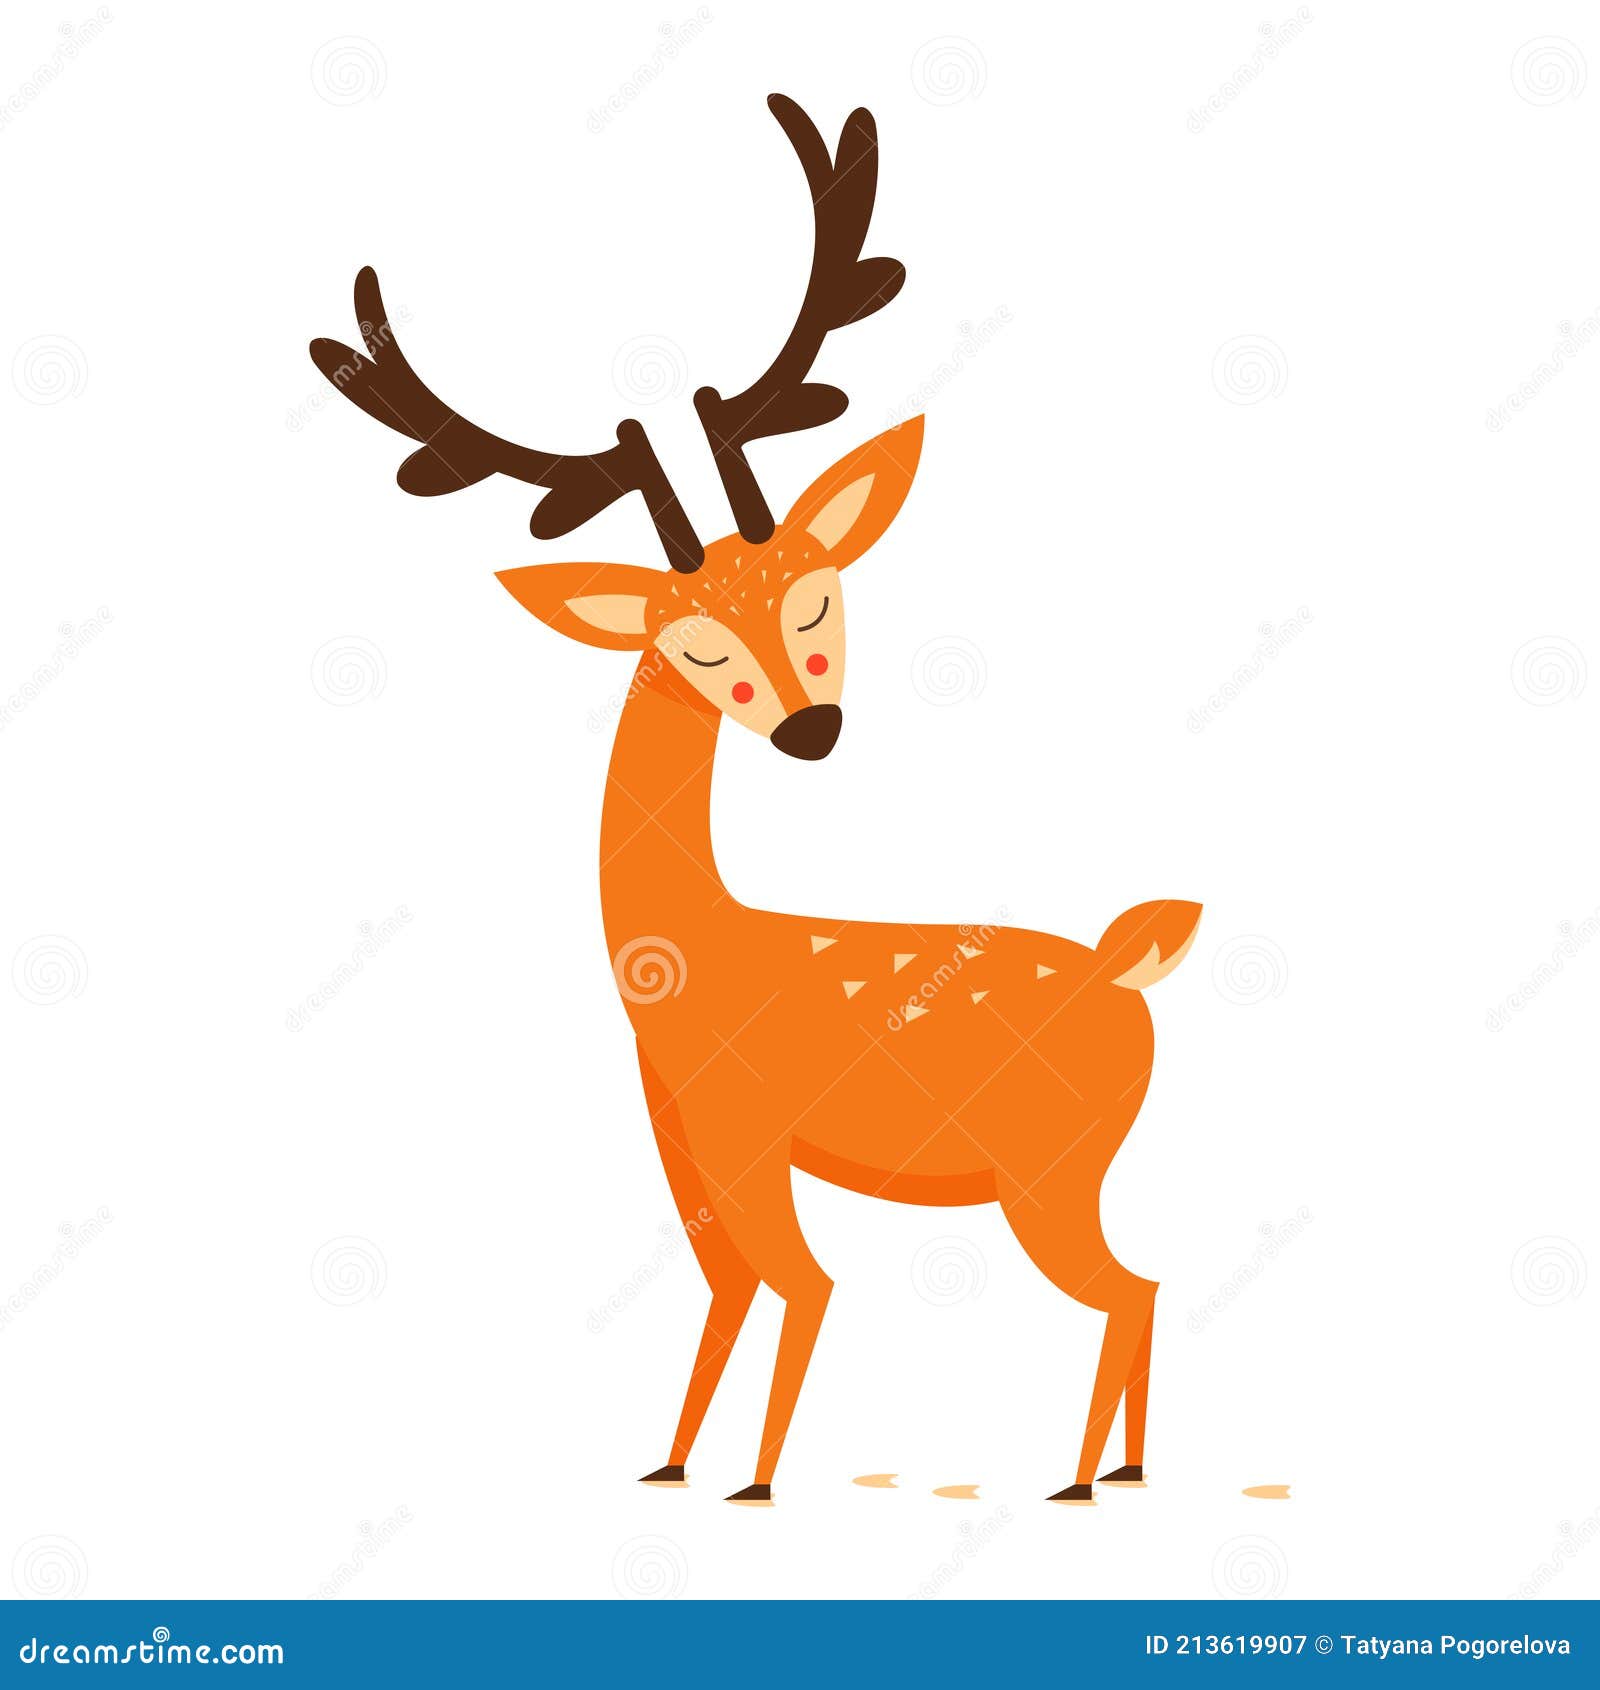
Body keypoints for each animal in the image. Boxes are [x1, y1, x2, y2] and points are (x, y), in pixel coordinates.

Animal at [309, 95, 1200, 1506]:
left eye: (819, 594)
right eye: (692, 644)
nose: (811, 727)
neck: (680, 965)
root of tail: (1133, 968)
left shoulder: (741, 1132)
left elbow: (805, 1280)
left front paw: (758, 1481)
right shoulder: (680, 1140)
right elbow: (728, 1288)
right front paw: (669, 1465)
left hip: (1046, 1170)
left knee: (1129, 1283)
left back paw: (1084, 1478)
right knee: (1141, 1280)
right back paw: (1105, 1472)